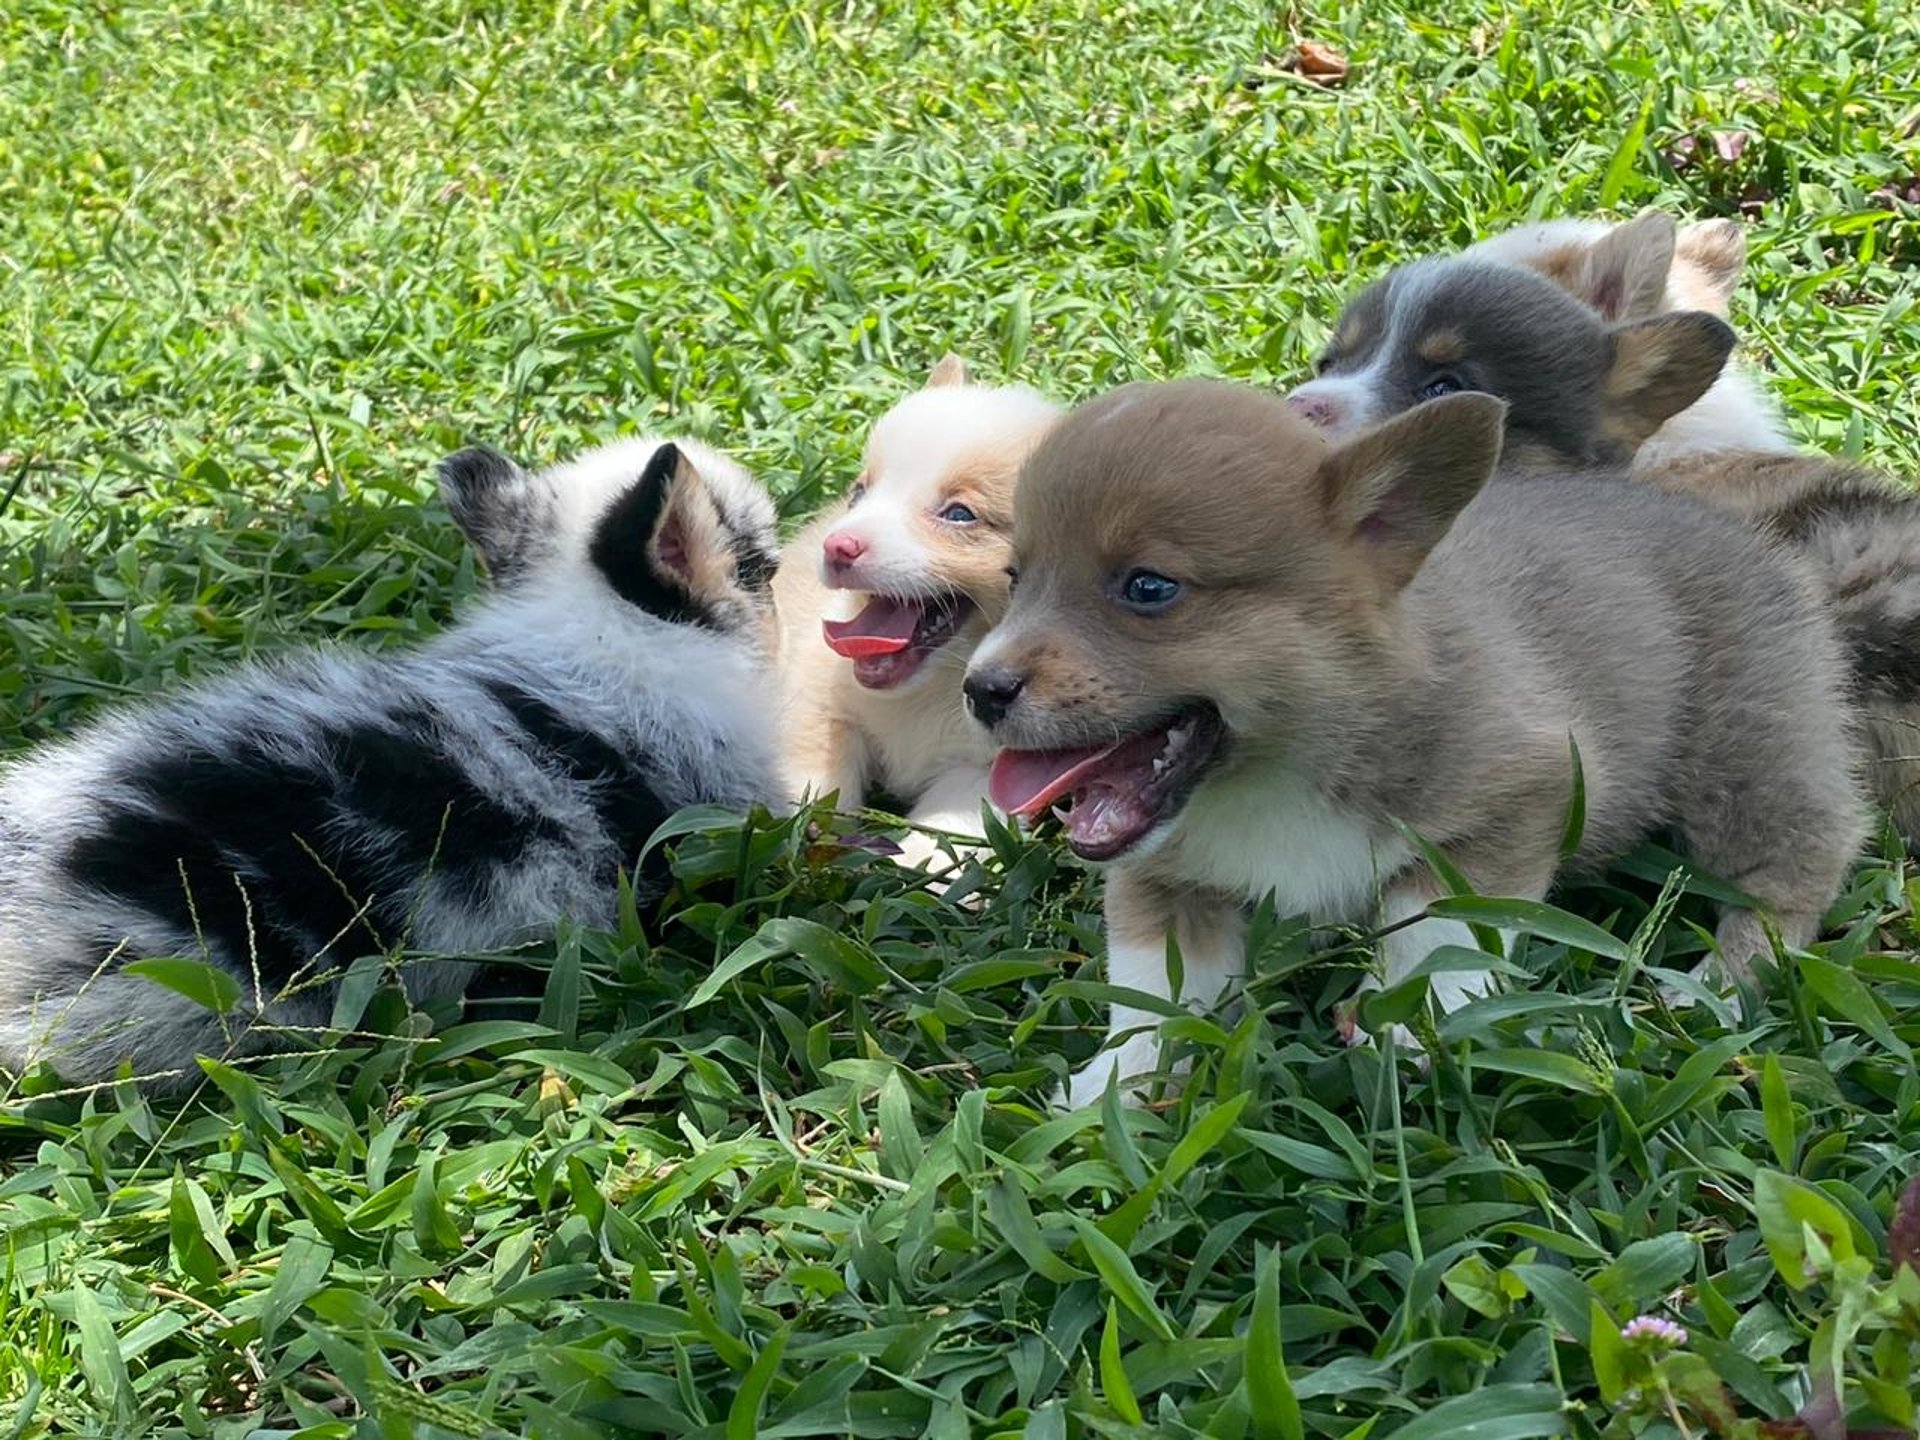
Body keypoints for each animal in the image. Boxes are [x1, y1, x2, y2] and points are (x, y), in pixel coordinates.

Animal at [768, 359, 1067, 867]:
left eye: (960, 514)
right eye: (858, 493)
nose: (837, 546)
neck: (930, 689)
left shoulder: (996, 767)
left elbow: (948, 832)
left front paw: (906, 867)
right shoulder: (817, 695)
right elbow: (816, 777)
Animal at [975, 380, 1858, 1105]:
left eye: (1149, 587)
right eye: (1016, 579)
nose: (979, 691)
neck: (1278, 773)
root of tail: (1754, 535)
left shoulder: (1518, 798)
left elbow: (1440, 924)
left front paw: (1414, 1027)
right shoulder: (1163, 878)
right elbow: (1156, 987)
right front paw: (1115, 1085)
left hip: (1748, 759)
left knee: (1798, 872)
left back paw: (1713, 986)